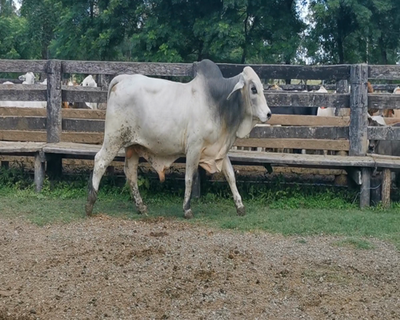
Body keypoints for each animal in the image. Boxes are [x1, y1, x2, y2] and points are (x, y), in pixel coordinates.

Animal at [85, 58, 272, 219]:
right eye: (253, 89)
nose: (269, 114)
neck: (219, 102)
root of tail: (123, 79)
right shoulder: (194, 148)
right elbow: (190, 177)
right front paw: (187, 209)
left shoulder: (219, 150)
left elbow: (231, 175)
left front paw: (240, 207)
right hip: (114, 138)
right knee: (100, 161)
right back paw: (90, 204)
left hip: (132, 145)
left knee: (130, 172)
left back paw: (141, 206)